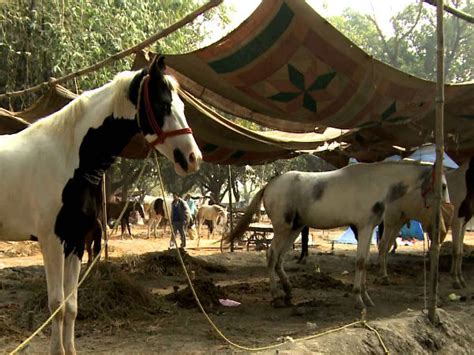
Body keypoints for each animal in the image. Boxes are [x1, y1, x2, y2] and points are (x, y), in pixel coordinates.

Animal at [0, 57, 202, 354]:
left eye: (183, 107)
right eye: (163, 104)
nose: (192, 158)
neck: (69, 158)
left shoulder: (75, 241)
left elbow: (71, 305)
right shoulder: (52, 242)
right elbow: (56, 305)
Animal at [224, 163, 450, 310]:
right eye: (444, 185)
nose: (446, 207)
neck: (375, 182)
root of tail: (269, 185)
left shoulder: (368, 228)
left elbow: (365, 261)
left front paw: (366, 296)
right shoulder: (364, 227)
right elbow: (360, 262)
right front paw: (358, 299)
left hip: (295, 228)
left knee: (279, 259)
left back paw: (288, 292)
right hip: (283, 228)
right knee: (271, 256)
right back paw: (276, 296)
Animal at [378, 159, 470, 290]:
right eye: (443, 186)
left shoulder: (462, 223)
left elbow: (458, 251)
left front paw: (459, 280)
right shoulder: (457, 222)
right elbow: (456, 251)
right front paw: (456, 281)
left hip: (398, 222)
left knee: (387, 246)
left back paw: (384, 275)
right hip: (390, 222)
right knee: (383, 246)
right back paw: (383, 276)